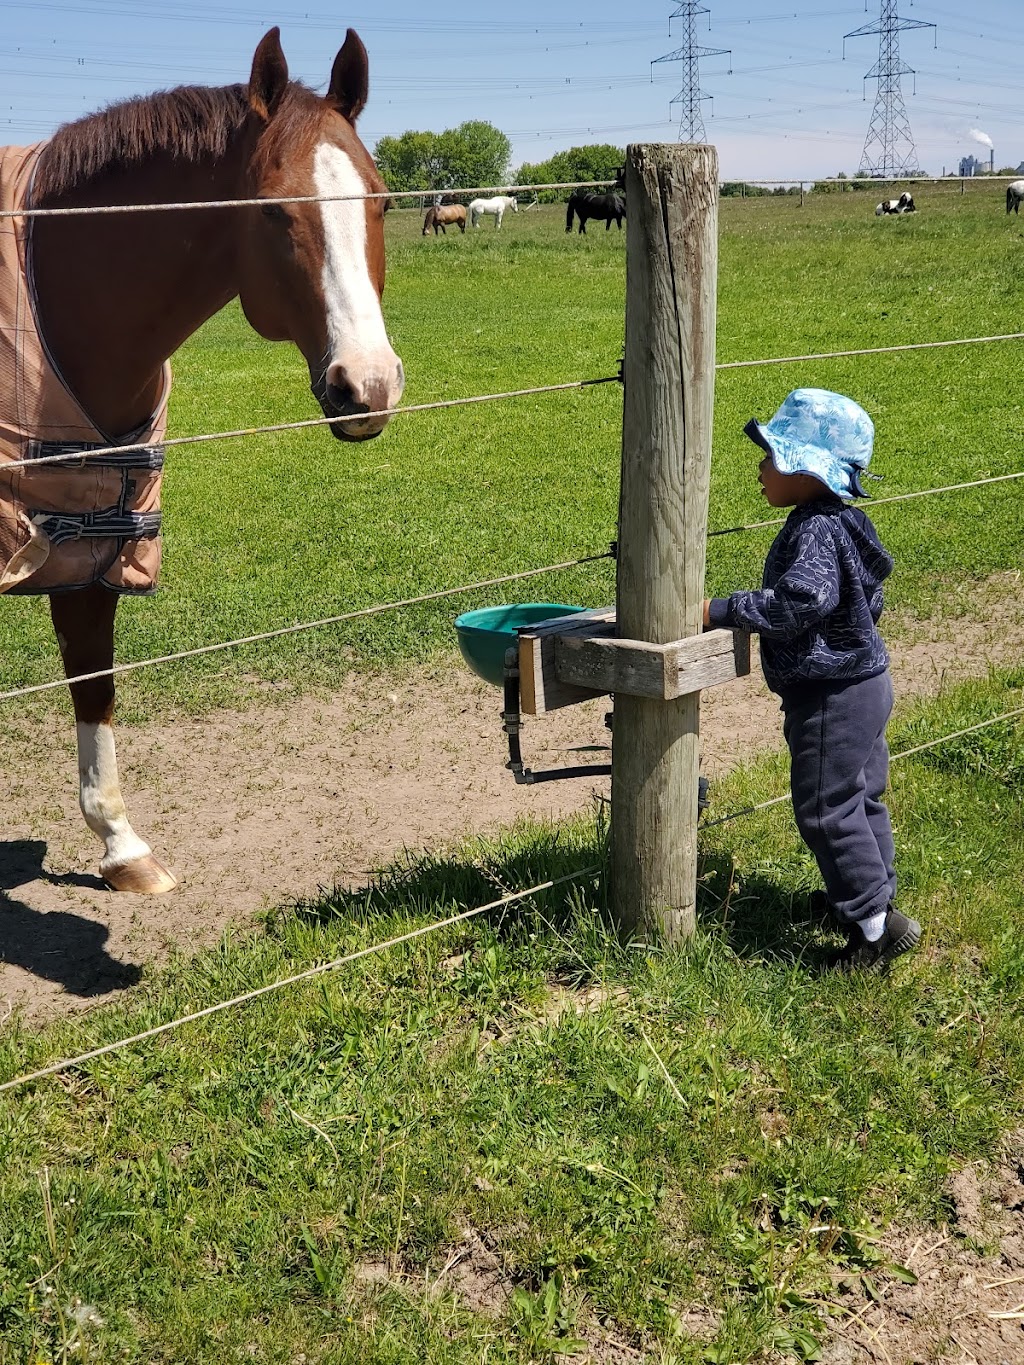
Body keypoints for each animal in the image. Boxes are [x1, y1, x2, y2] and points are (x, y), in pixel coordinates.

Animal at [0, 29, 409, 895]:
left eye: (382, 200)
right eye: (272, 209)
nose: (368, 384)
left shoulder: (90, 536)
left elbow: (92, 679)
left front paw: (122, 847)